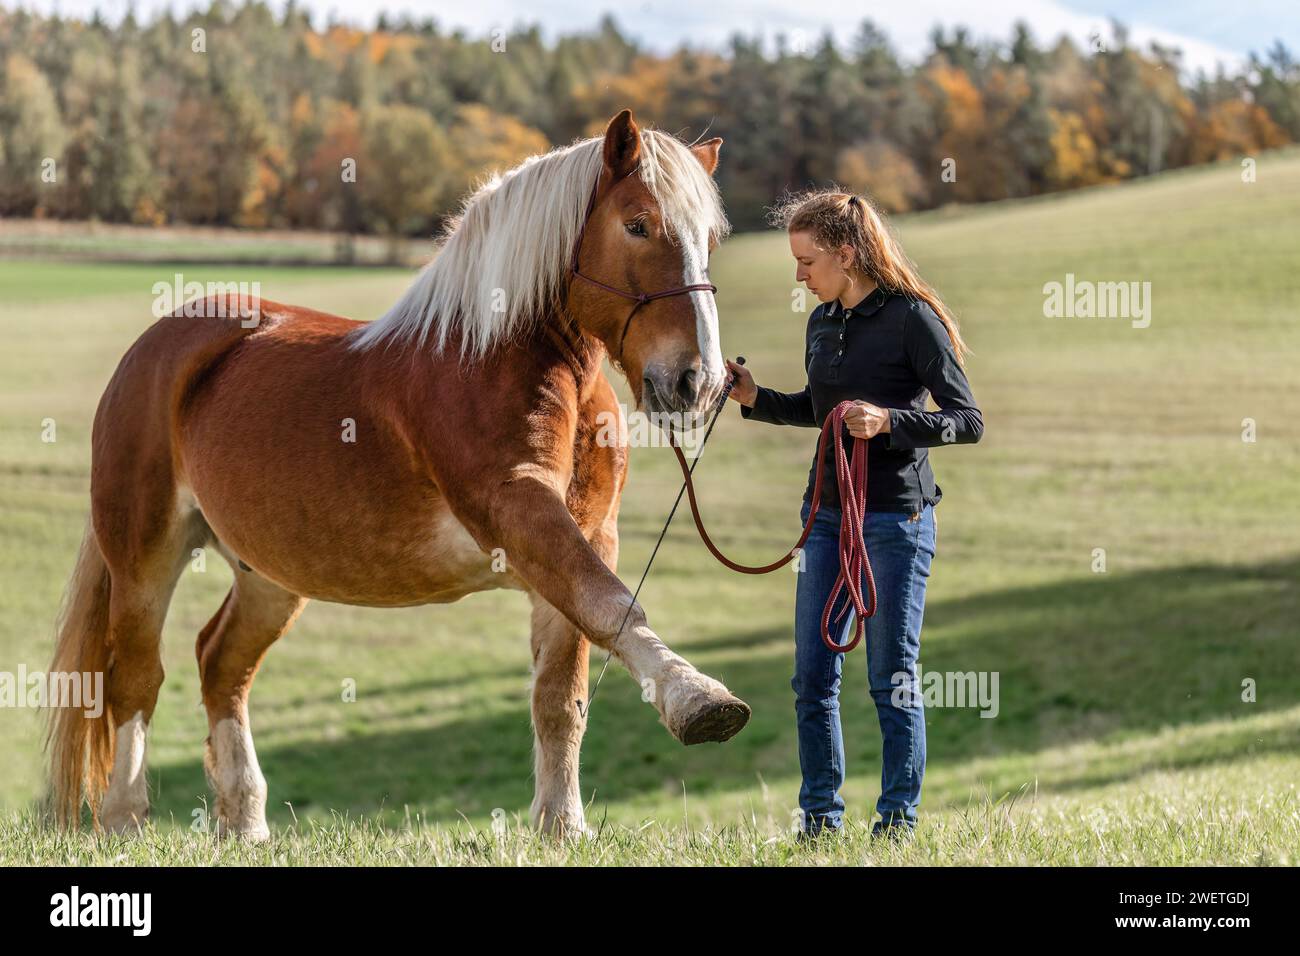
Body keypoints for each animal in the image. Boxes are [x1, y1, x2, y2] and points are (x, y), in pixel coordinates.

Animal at [45, 108, 754, 842]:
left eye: (709, 238)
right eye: (637, 223)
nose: (697, 380)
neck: (497, 358)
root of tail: (155, 347)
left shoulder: (590, 535)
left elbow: (564, 691)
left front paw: (562, 825)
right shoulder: (519, 513)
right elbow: (613, 608)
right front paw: (699, 700)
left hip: (267, 575)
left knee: (220, 665)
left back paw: (244, 822)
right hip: (145, 556)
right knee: (135, 677)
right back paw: (125, 820)